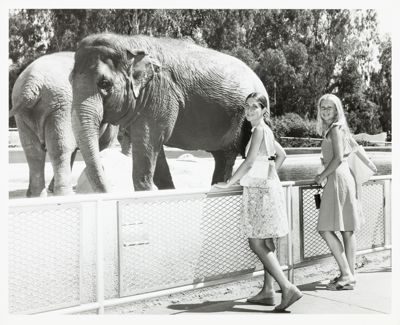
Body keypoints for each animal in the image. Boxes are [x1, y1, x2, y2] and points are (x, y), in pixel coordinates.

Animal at [9, 52, 120, 196]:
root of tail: (31, 84)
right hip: (61, 108)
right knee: (60, 148)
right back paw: (64, 193)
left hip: (23, 113)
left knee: (32, 150)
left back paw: (36, 195)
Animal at [70, 33, 268, 190]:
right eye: (70, 81)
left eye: (104, 84)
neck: (129, 42)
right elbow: (154, 152)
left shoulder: (159, 94)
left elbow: (148, 142)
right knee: (222, 157)